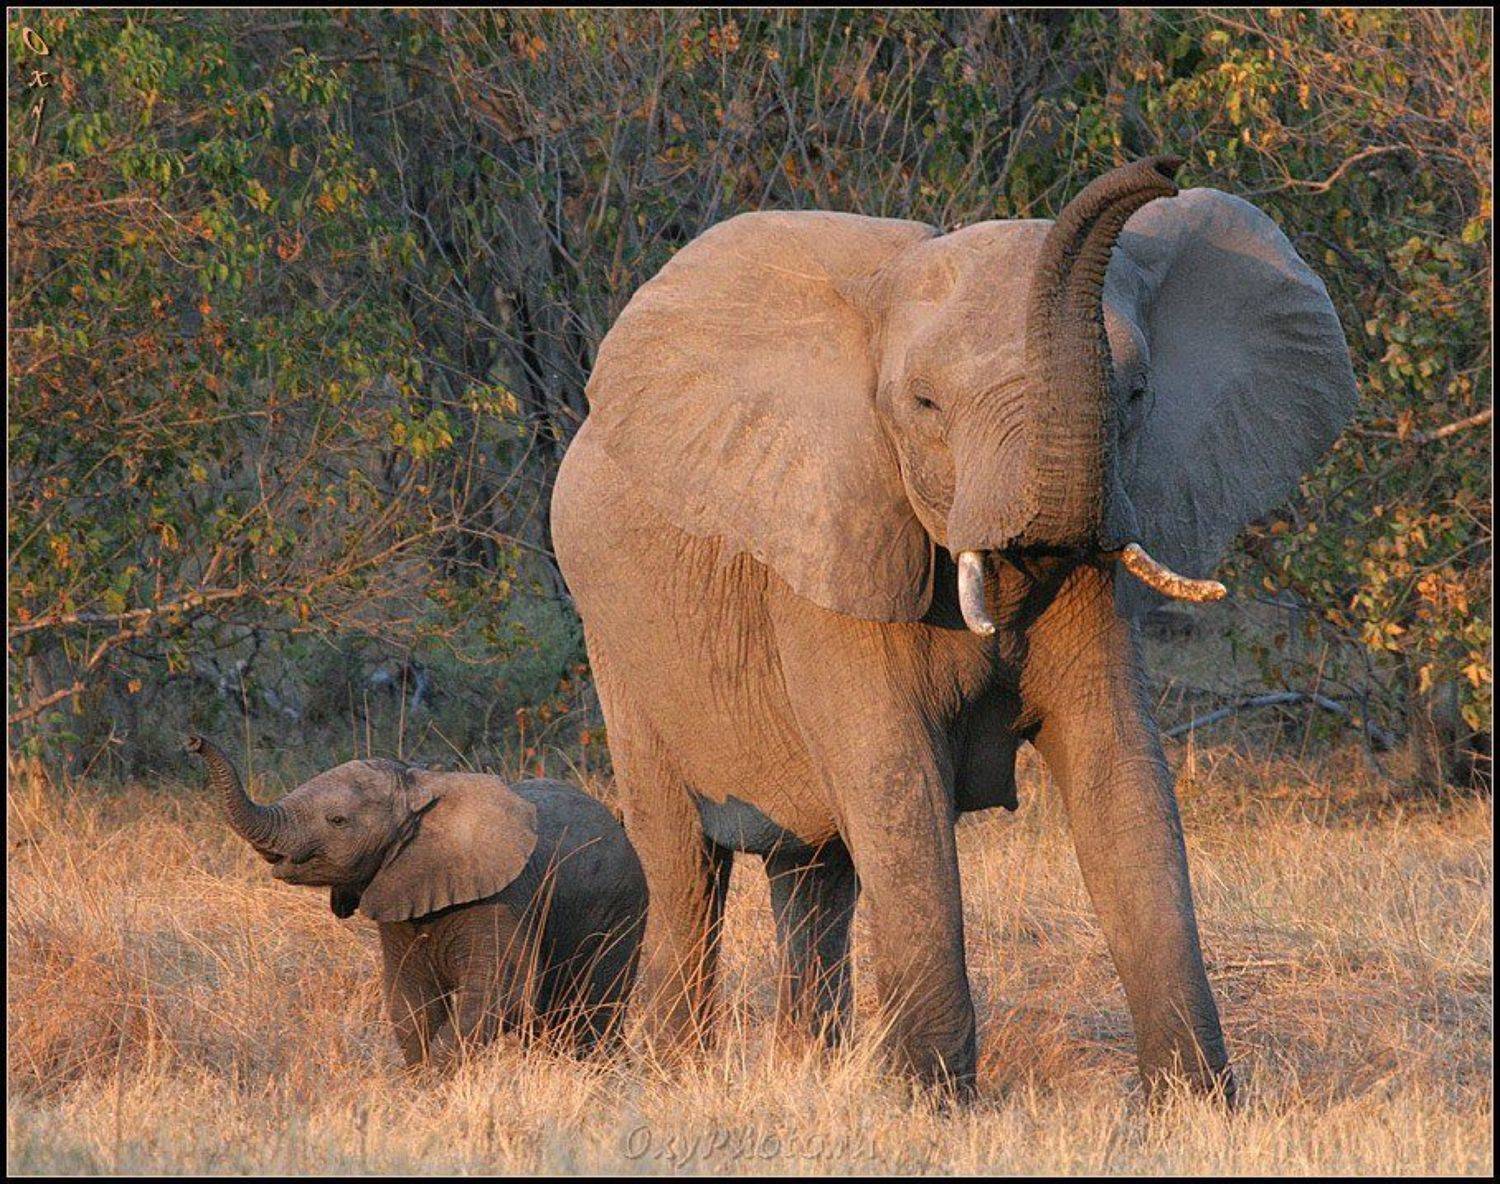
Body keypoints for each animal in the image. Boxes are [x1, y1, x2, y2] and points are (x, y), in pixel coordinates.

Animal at [186, 736, 647, 1067]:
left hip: (622, 909)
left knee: (592, 1006)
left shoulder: (506, 897)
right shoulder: (399, 892)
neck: (421, 786)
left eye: (337, 820)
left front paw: (434, 1085)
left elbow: (499, 995)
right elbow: (411, 1001)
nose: (193, 741)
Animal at [549, 156, 1356, 1099]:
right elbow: (897, 780)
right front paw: (929, 1100)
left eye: (1136, 395)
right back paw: (675, 1072)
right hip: (615, 632)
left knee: (815, 874)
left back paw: (805, 1068)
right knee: (681, 859)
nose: (1161, 168)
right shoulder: (831, 544)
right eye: (926, 404)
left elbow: (1121, 772)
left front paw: (1194, 1104)